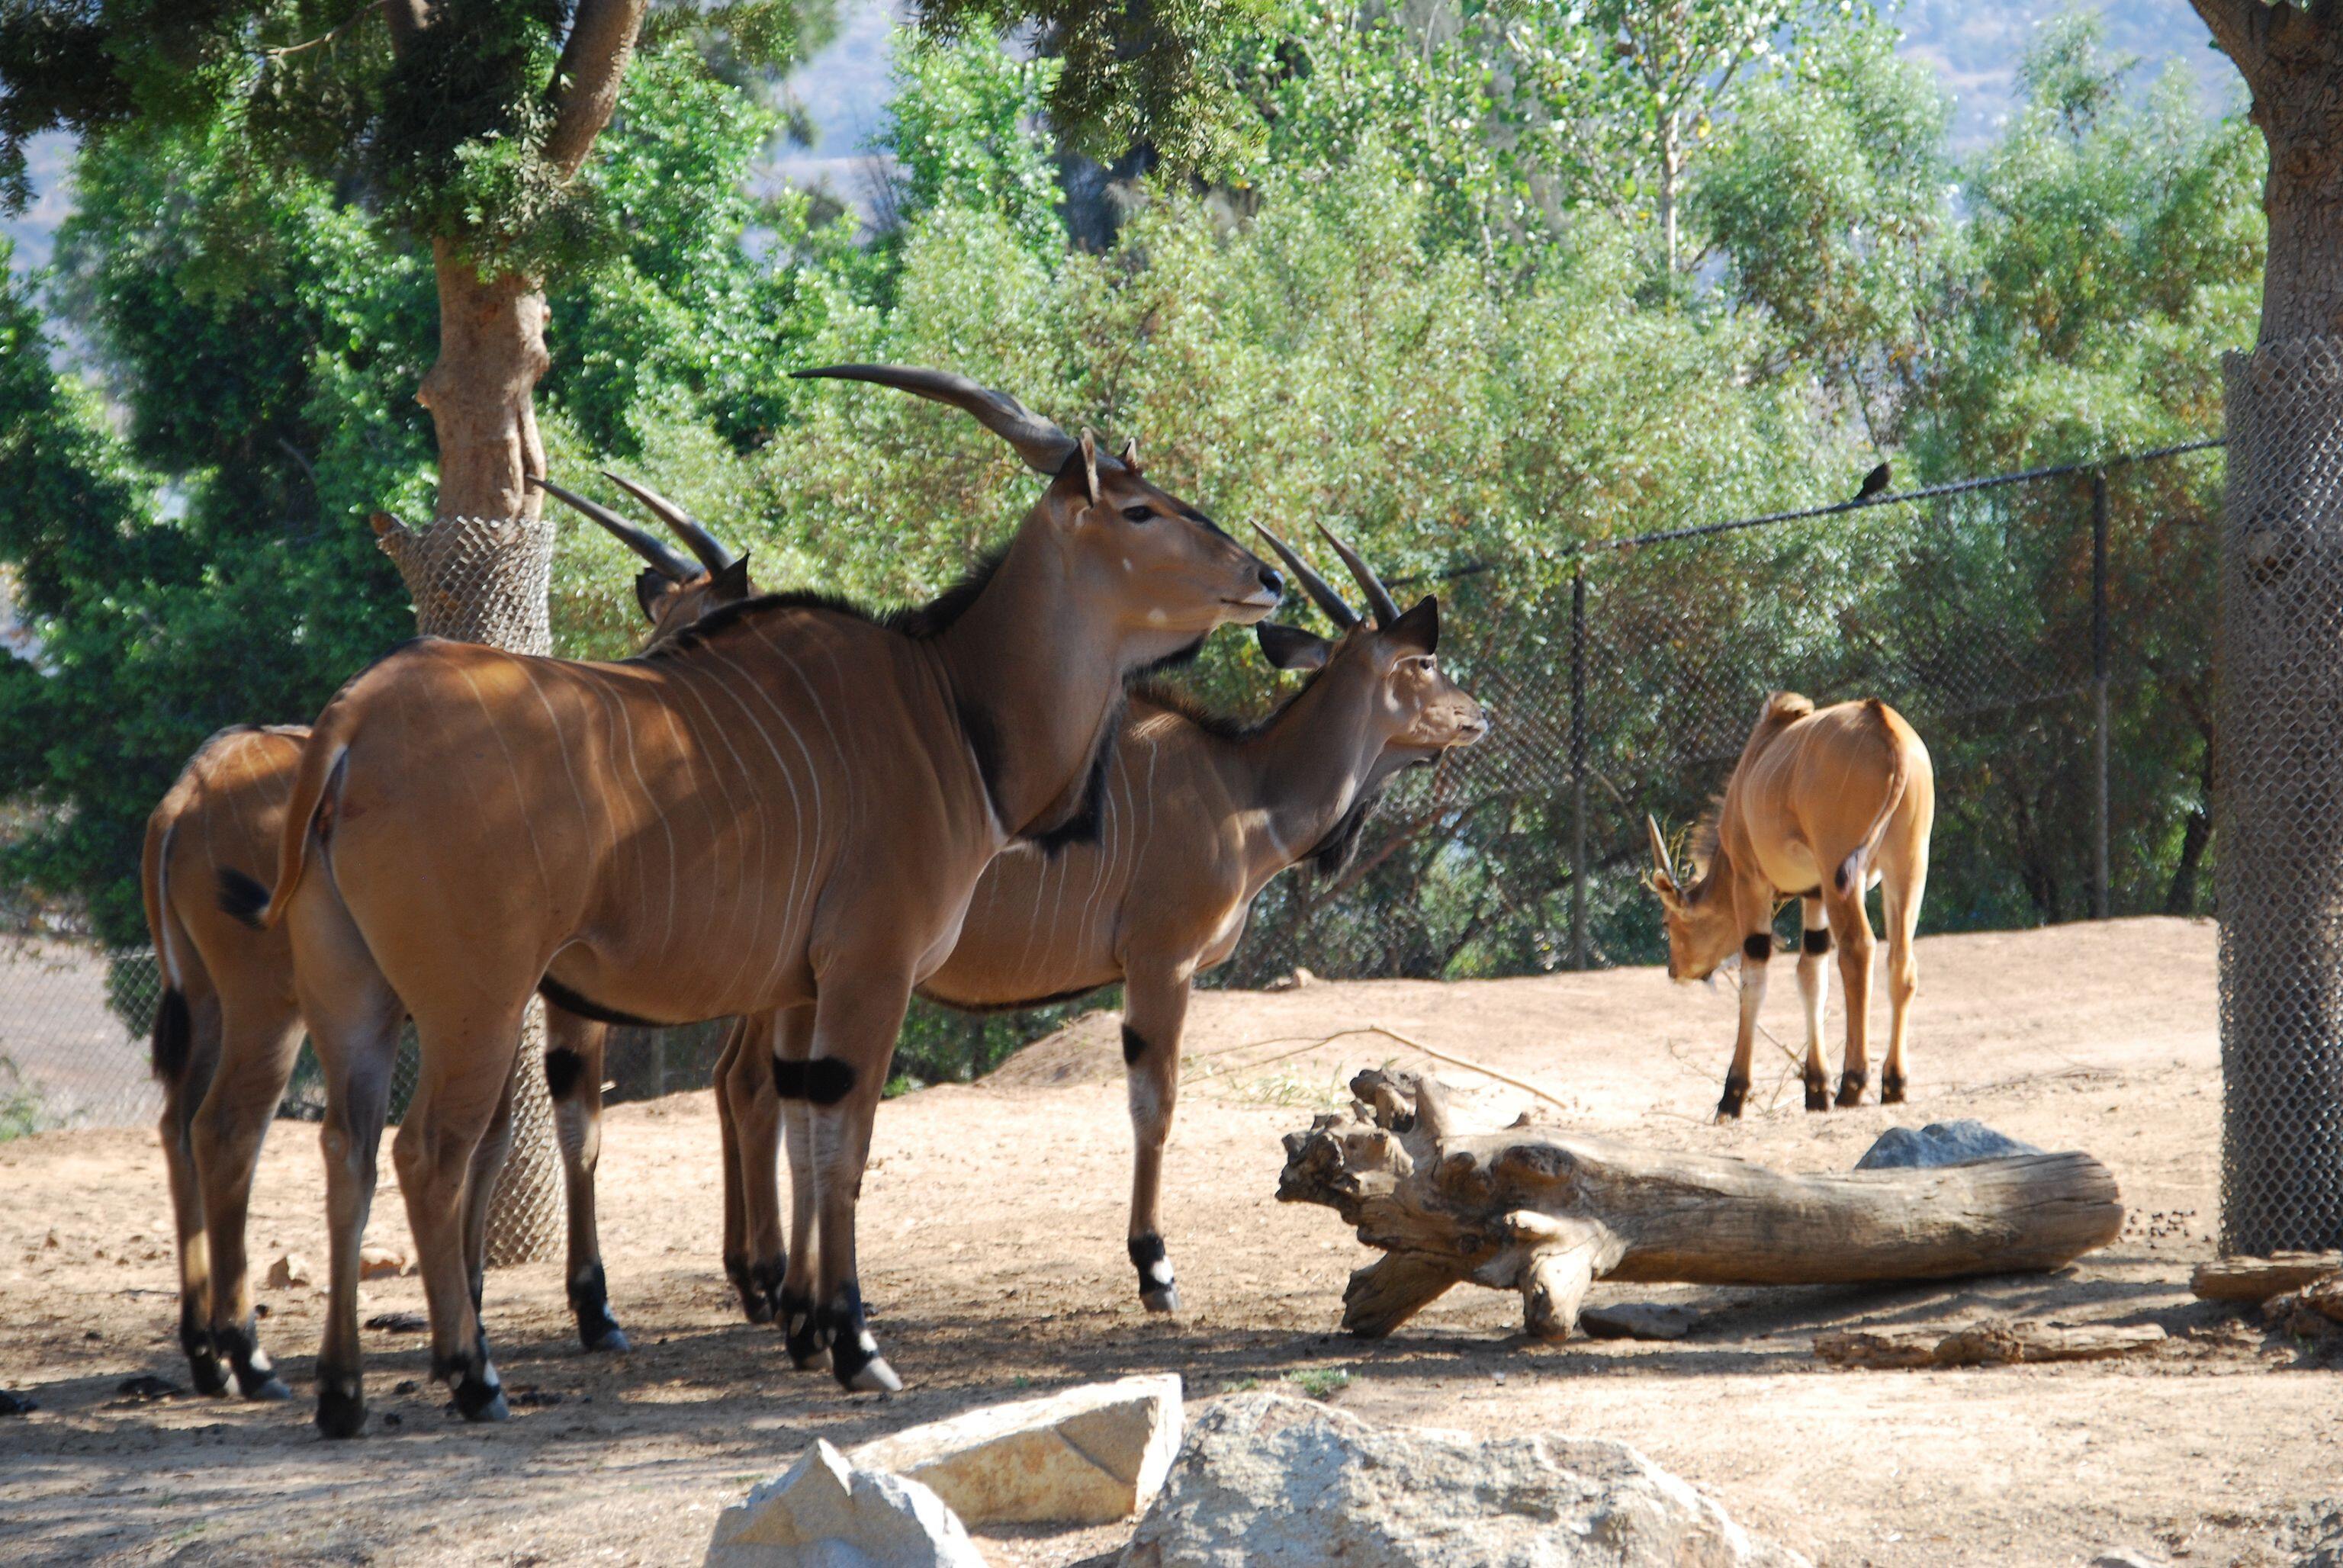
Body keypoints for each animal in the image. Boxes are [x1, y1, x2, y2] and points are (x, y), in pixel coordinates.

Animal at [137, 477, 754, 1396]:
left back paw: (206, 1351)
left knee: (181, 1124)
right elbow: (571, 1133)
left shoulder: (502, 1001)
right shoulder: (555, 1003)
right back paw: (248, 1352)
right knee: (227, 1130)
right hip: (272, 1009)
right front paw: (588, 1310)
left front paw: (470, 1310)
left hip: (219, 1004)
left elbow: (492, 1143)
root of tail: (188, 792)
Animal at [220, 368, 1284, 1434]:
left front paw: (807, 1327)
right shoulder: (869, 973)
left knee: (346, 1148)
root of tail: (352, 722)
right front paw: (854, 1345)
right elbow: (845, 1147)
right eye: (1141, 510)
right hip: (473, 1001)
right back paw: (471, 1373)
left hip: (356, 997)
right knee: (427, 1150)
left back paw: (344, 1392)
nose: (1267, 580)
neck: (947, 705)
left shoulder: (802, 991)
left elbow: (803, 1136)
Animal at [1640, 689, 1930, 1120]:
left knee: (1858, 950)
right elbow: (1811, 976)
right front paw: (1816, 1088)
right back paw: (1894, 1083)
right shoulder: (1815, 893)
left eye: (1666, 923)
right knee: (1901, 962)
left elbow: (1754, 979)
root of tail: (1886, 726)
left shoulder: (1751, 883)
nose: (1675, 970)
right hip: (1907, 868)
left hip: (1843, 875)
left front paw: (1733, 1095)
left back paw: (1853, 1083)